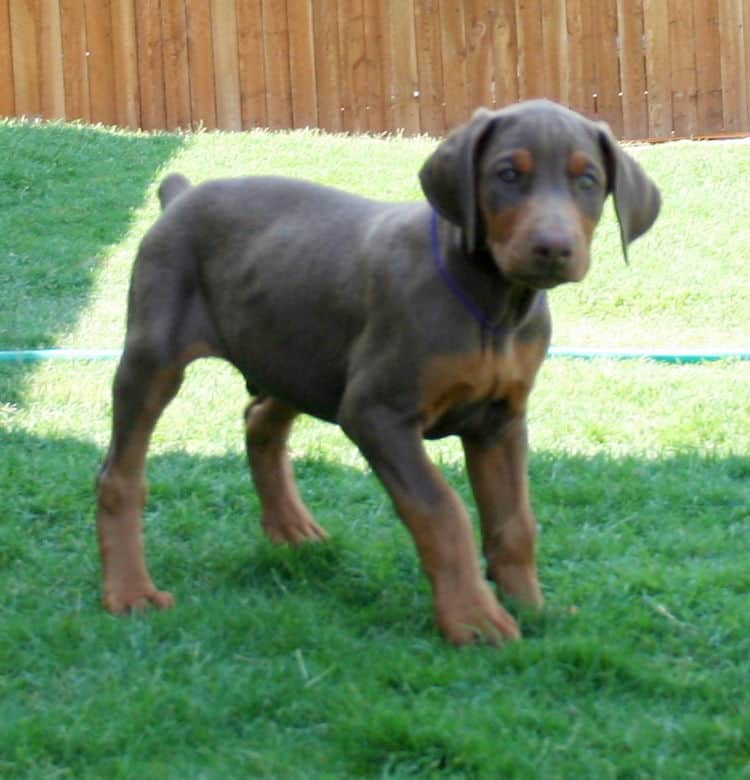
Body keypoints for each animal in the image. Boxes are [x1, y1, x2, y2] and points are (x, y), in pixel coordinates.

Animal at [95, 99, 664, 644]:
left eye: (587, 180)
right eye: (507, 174)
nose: (552, 248)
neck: (493, 308)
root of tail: (180, 195)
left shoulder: (499, 422)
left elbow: (514, 523)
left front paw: (531, 607)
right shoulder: (377, 413)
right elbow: (442, 510)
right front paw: (474, 618)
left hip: (301, 357)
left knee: (260, 419)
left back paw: (291, 529)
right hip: (157, 357)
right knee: (120, 475)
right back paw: (130, 592)